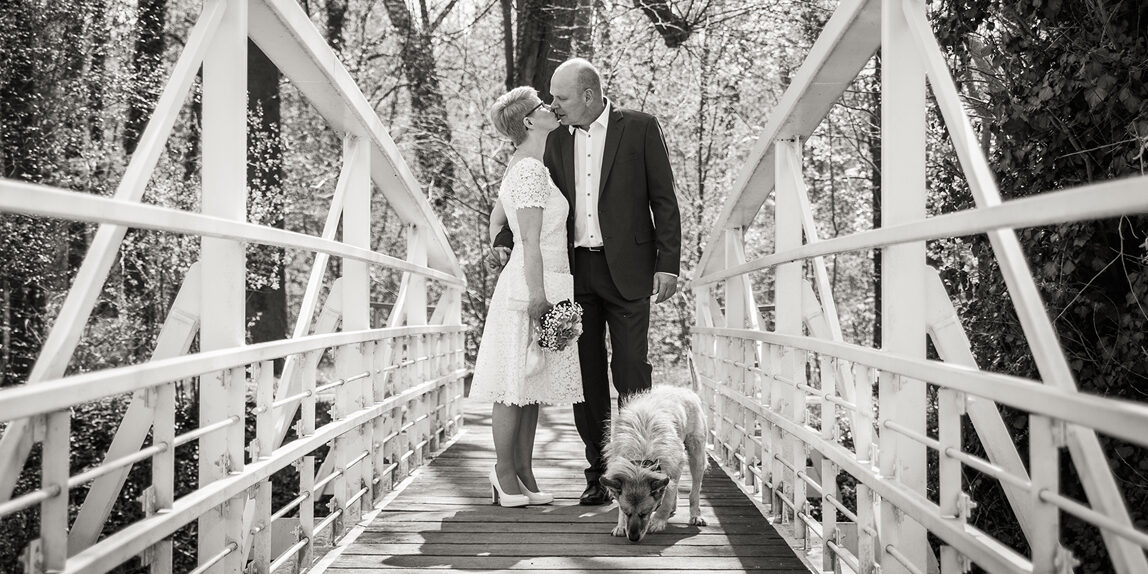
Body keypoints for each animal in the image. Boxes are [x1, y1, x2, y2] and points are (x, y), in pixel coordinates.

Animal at [601, 385, 707, 541]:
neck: (641, 462)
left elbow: (668, 496)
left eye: (645, 513)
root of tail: (685, 390)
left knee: (695, 490)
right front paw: (620, 525)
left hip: (697, 455)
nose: (633, 538)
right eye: (627, 513)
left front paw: (658, 521)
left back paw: (695, 515)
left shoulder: (675, 465)